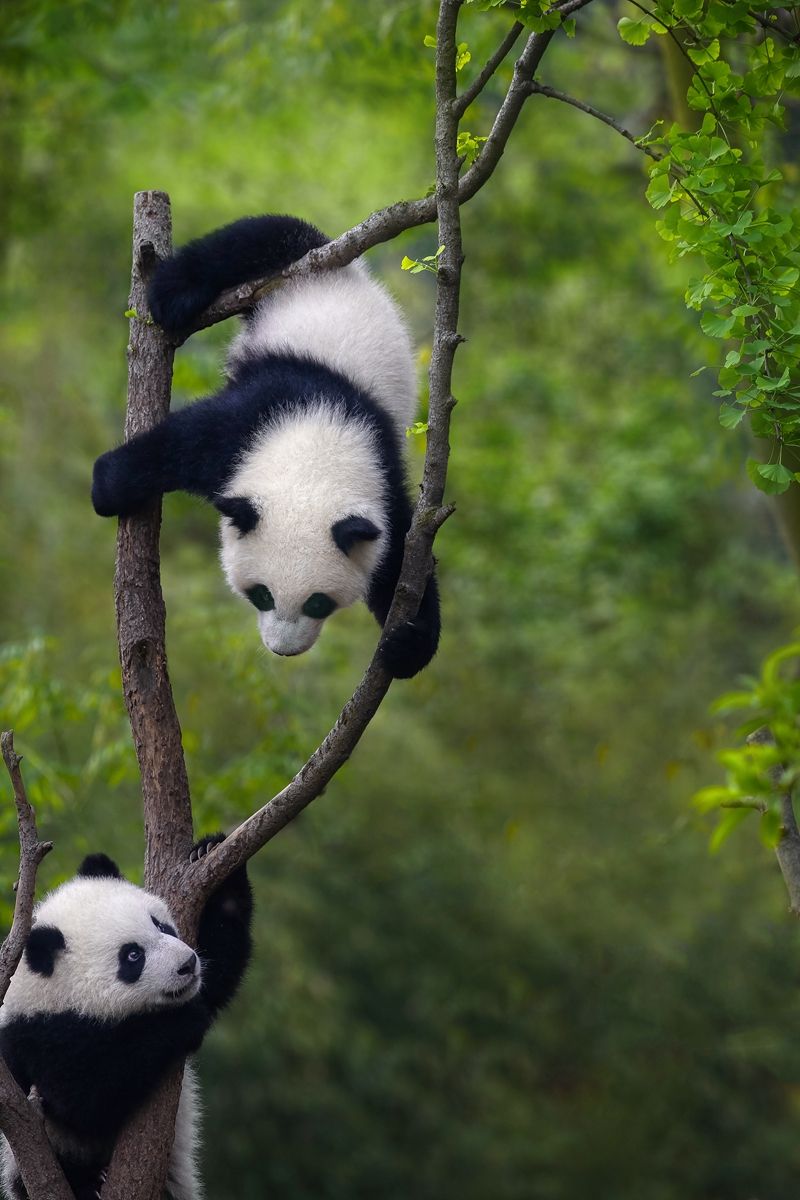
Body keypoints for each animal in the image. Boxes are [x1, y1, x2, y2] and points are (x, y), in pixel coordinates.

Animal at [0, 835, 251, 1200]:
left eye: (160, 924)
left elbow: (220, 966)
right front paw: (181, 1020)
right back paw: (89, 1184)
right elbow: (84, 1098)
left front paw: (208, 852)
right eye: (133, 956)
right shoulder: (33, 1038)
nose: (188, 964)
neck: (51, 995)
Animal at [94, 216, 443, 681]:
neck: (317, 444)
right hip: (289, 272)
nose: (283, 650)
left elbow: (404, 560)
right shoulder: (256, 418)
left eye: (318, 602)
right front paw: (107, 487)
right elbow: (176, 446)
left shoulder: (381, 474)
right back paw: (174, 296)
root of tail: (350, 272)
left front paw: (406, 644)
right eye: (261, 594)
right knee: (255, 238)